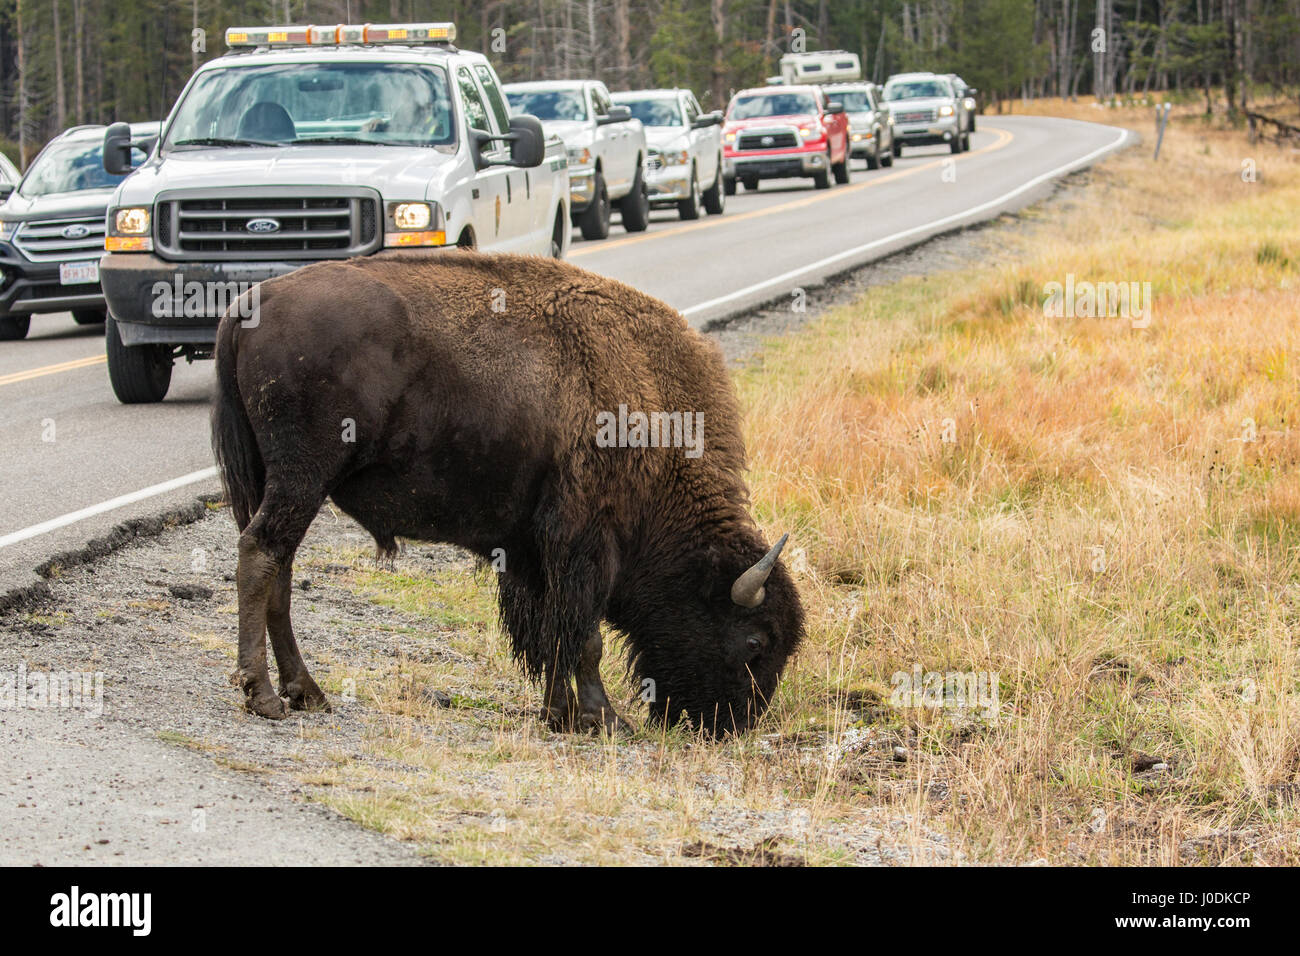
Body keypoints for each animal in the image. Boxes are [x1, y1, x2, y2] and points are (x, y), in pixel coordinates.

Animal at [213, 252, 800, 733]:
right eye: (755, 641)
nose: (730, 726)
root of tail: (251, 304)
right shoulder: (585, 542)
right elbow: (583, 636)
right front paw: (604, 719)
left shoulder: (534, 552)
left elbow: (550, 633)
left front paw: (559, 714)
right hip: (303, 477)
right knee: (260, 555)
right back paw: (265, 696)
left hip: (277, 483)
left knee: (279, 570)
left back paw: (305, 693)